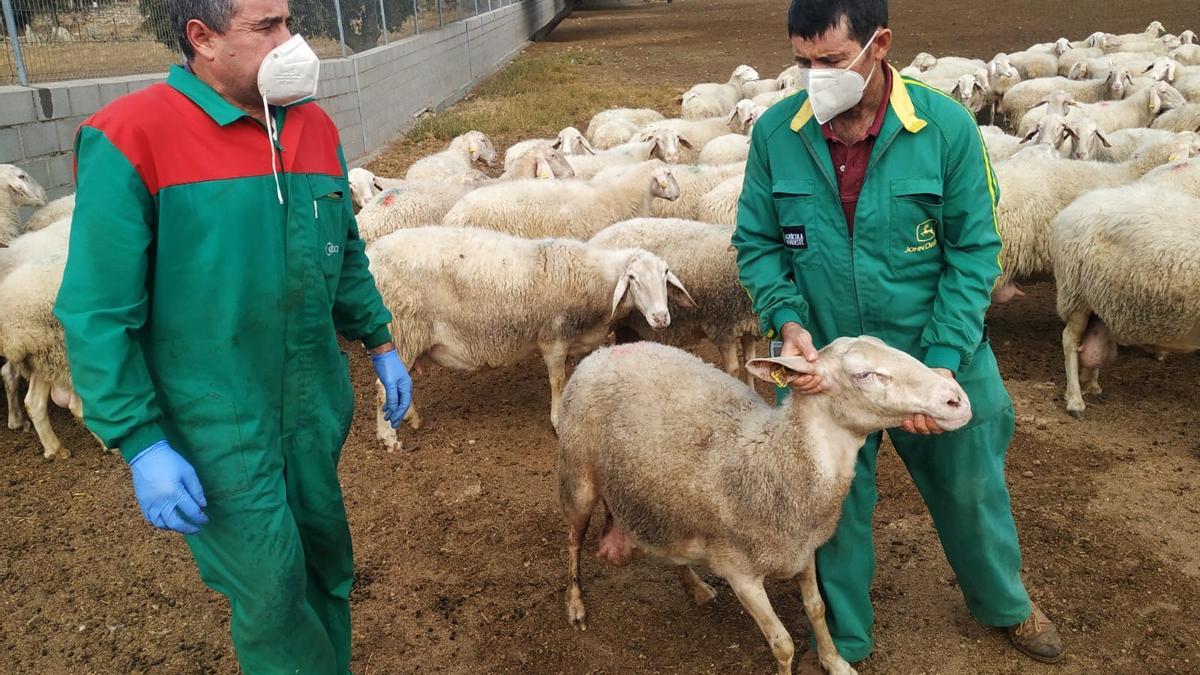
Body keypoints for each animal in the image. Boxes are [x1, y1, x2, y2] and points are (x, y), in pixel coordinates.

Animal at [369, 225, 700, 446]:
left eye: (665, 274)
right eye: (632, 278)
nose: (661, 318)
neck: (593, 281)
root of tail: (371, 253)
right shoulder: (553, 337)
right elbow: (557, 380)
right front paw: (557, 421)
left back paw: (409, 417)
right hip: (400, 330)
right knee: (384, 386)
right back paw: (388, 437)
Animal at [556, 338, 969, 672]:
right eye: (864, 374)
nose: (958, 399)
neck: (778, 457)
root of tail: (605, 351)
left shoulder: (803, 549)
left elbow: (817, 609)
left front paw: (835, 663)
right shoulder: (740, 573)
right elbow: (782, 643)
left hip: (660, 497)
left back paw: (694, 587)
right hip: (578, 473)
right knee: (573, 539)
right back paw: (575, 605)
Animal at [1051, 183, 1200, 415]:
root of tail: (1070, 210)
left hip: (1101, 301)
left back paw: (1090, 384)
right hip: (1076, 294)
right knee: (1070, 340)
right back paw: (1075, 400)